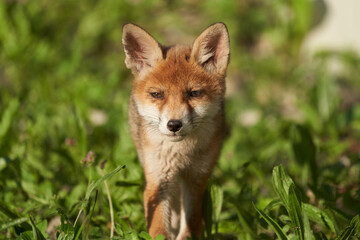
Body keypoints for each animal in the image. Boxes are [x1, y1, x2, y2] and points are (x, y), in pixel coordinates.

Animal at [122, 23, 229, 240]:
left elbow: (191, 223)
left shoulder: (196, 178)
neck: (181, 153)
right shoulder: (158, 180)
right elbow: (158, 228)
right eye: (157, 94)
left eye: (194, 93)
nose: (174, 125)